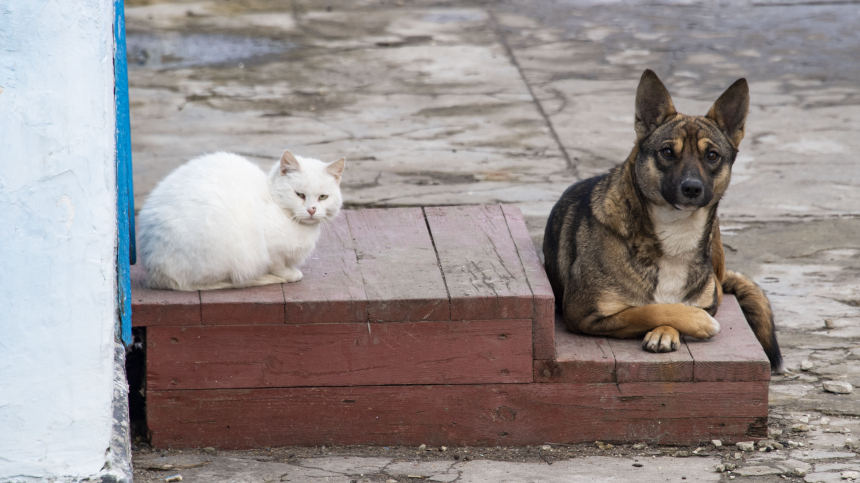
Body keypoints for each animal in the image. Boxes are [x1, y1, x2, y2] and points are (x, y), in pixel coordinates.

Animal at [138, 150, 346, 292]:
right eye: (299, 195)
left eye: (323, 197)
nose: (311, 209)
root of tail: (156, 271)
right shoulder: (271, 250)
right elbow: (278, 265)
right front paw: (289, 274)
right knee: (228, 280)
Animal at [544, 68, 788, 372]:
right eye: (667, 152)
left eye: (712, 155)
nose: (692, 188)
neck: (675, 230)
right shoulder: (582, 314)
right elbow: (645, 310)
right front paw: (693, 321)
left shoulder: (709, 300)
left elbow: (671, 305)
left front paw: (669, 330)